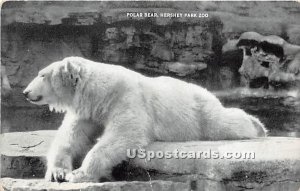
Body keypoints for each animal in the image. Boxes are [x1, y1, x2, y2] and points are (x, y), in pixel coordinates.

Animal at [23, 57, 268, 184]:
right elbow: (72, 136)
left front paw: (79, 173)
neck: (100, 92)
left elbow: (124, 134)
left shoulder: (126, 98)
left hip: (197, 111)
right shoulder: (88, 110)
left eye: (42, 75)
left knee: (220, 123)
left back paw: (258, 127)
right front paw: (58, 173)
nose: (25, 92)